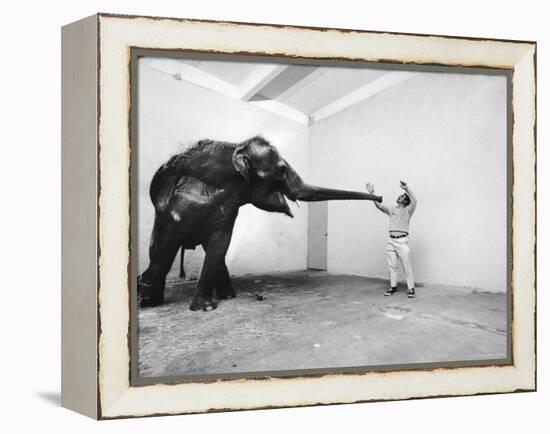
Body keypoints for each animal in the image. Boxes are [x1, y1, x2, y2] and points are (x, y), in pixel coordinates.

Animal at [138, 134, 384, 310]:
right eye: (282, 171)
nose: (380, 197)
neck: (236, 147)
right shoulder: (184, 206)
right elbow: (170, 247)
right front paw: (205, 309)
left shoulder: (228, 210)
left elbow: (220, 244)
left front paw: (208, 307)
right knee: (161, 251)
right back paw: (148, 301)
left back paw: (227, 296)